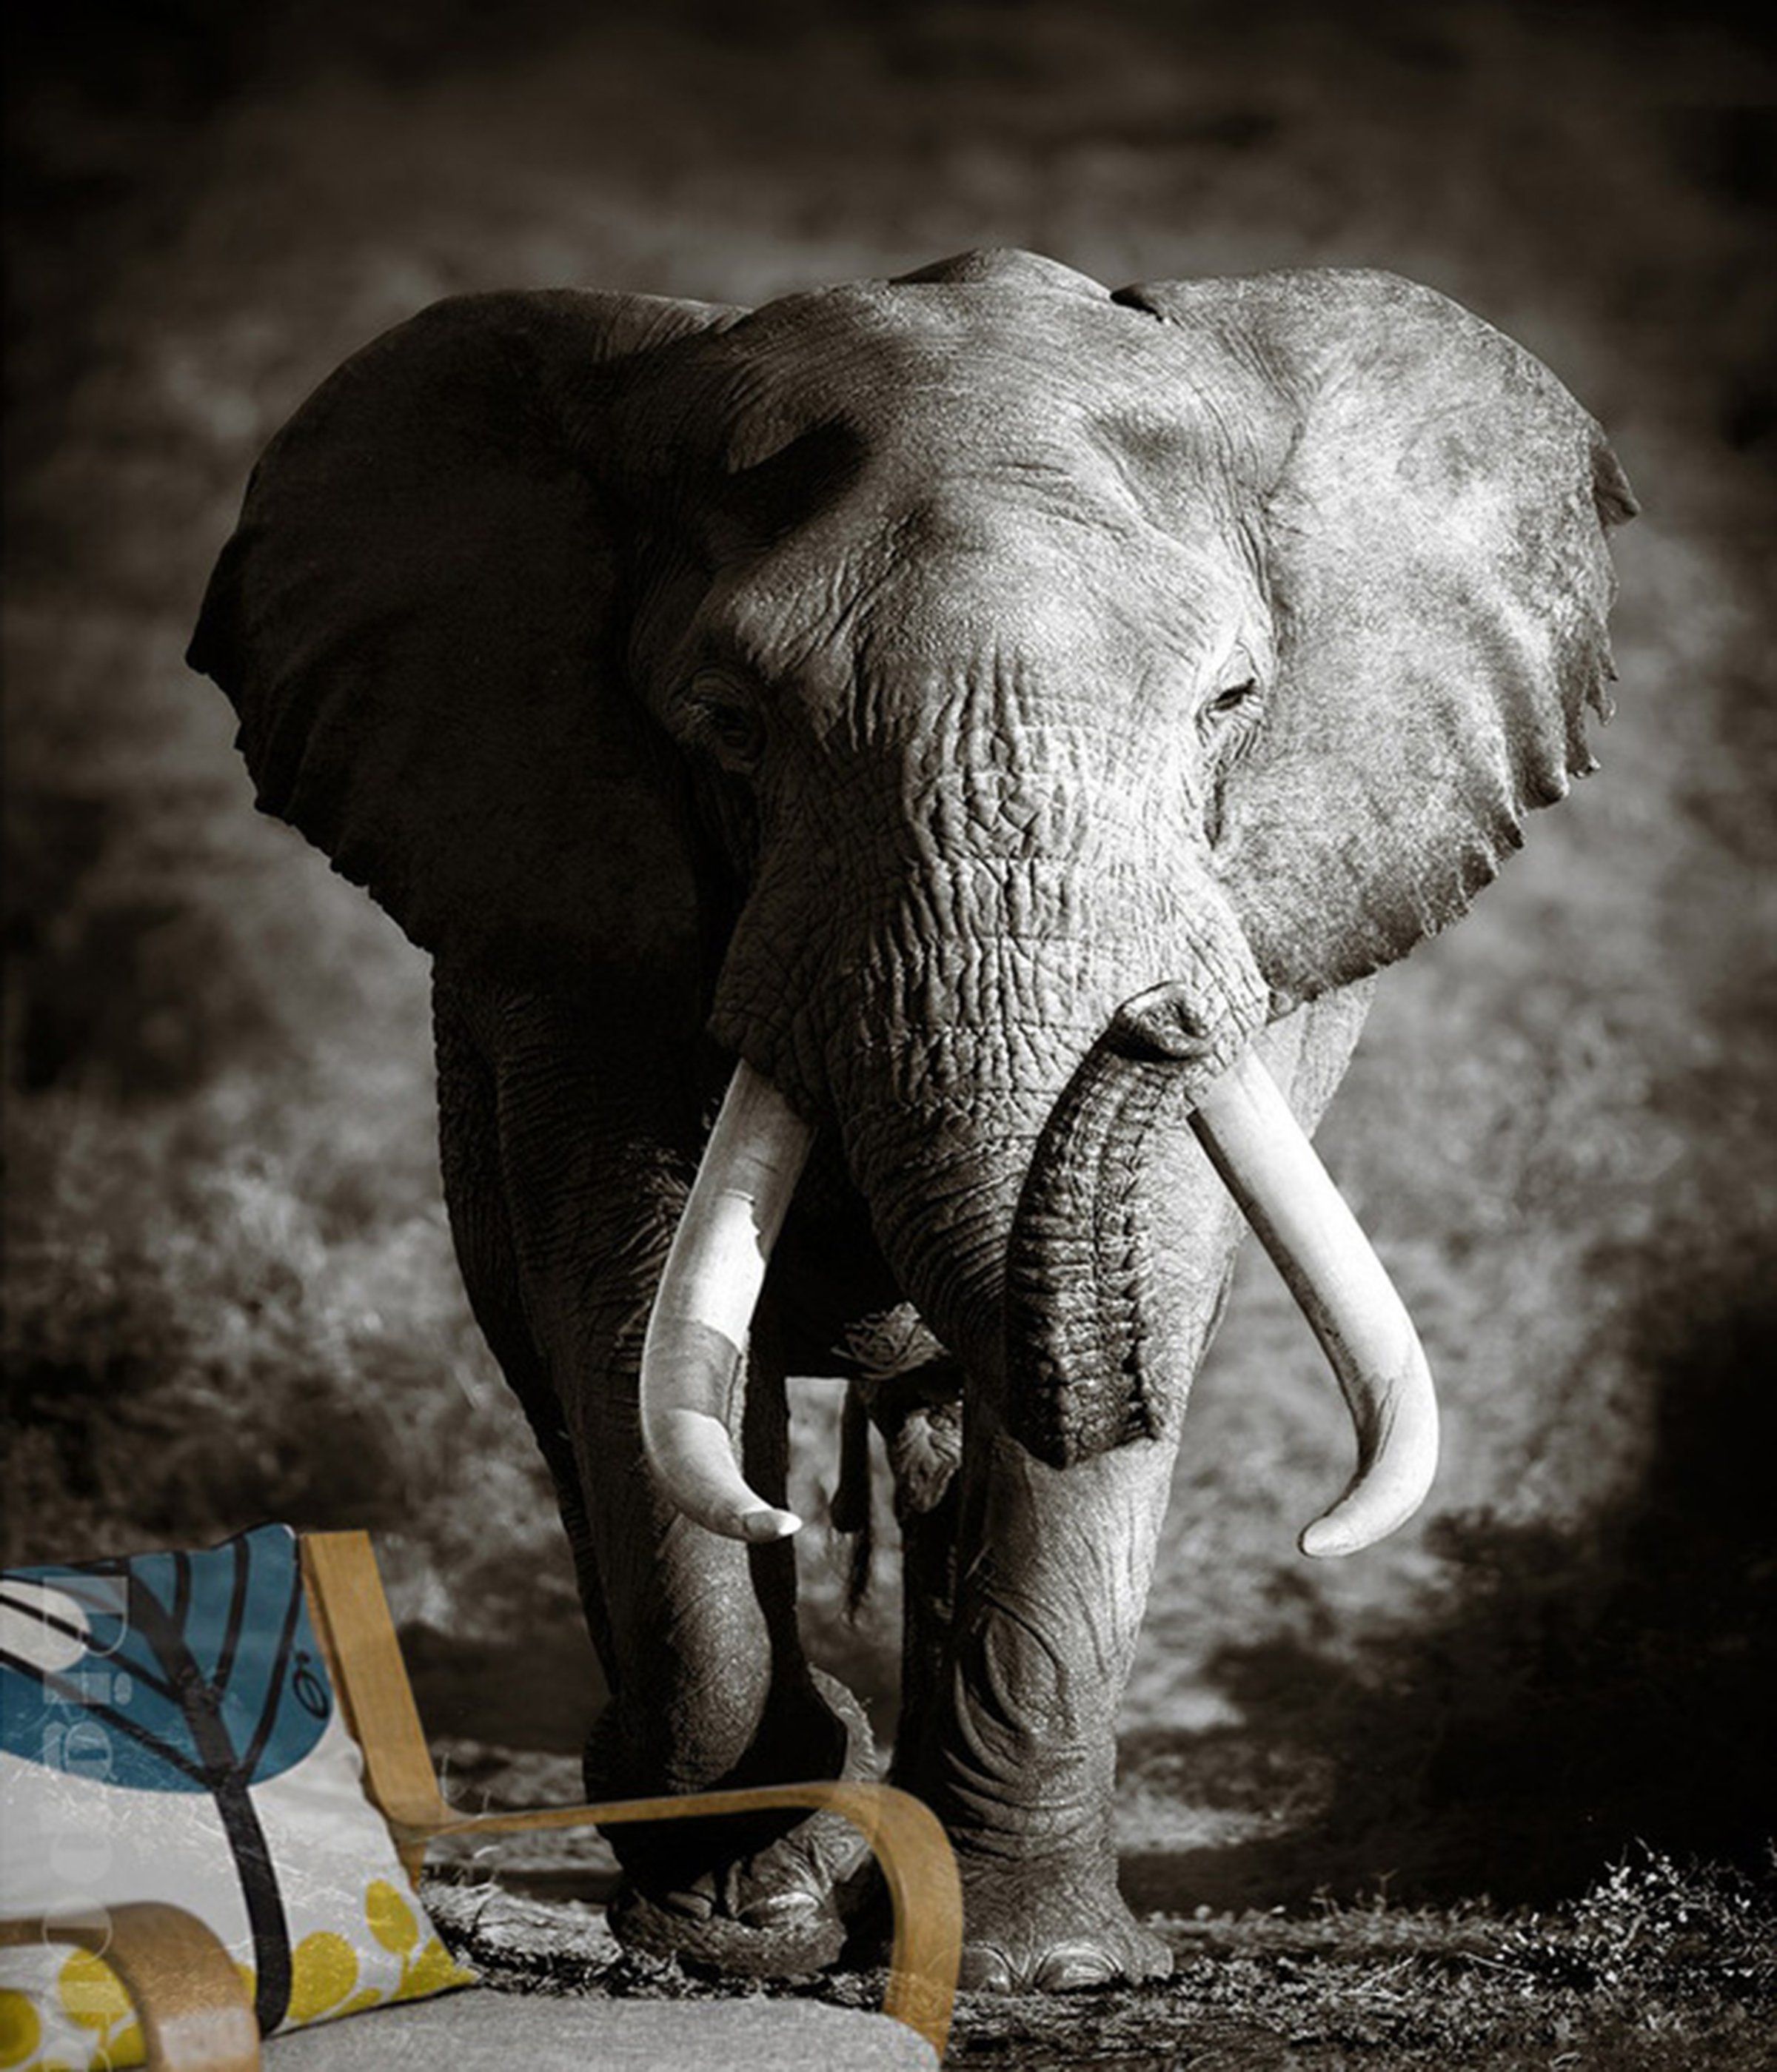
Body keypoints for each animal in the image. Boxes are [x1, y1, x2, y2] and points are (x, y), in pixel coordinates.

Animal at [188, 247, 1635, 1992]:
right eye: (729, 724)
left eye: (1232, 703)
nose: (1160, 1016)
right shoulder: (560, 905)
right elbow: (627, 1292)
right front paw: (752, 1920)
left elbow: (1159, 1266)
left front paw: (1041, 1963)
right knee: (556, 1374)